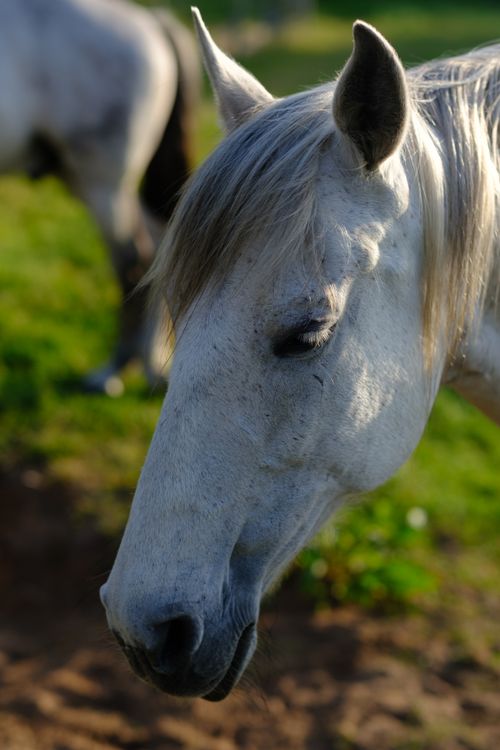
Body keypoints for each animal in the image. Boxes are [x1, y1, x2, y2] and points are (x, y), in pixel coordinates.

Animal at [0, 0, 199, 394]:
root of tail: (151, 22)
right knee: (159, 250)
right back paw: (150, 364)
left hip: (103, 184)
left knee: (132, 261)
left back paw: (114, 370)